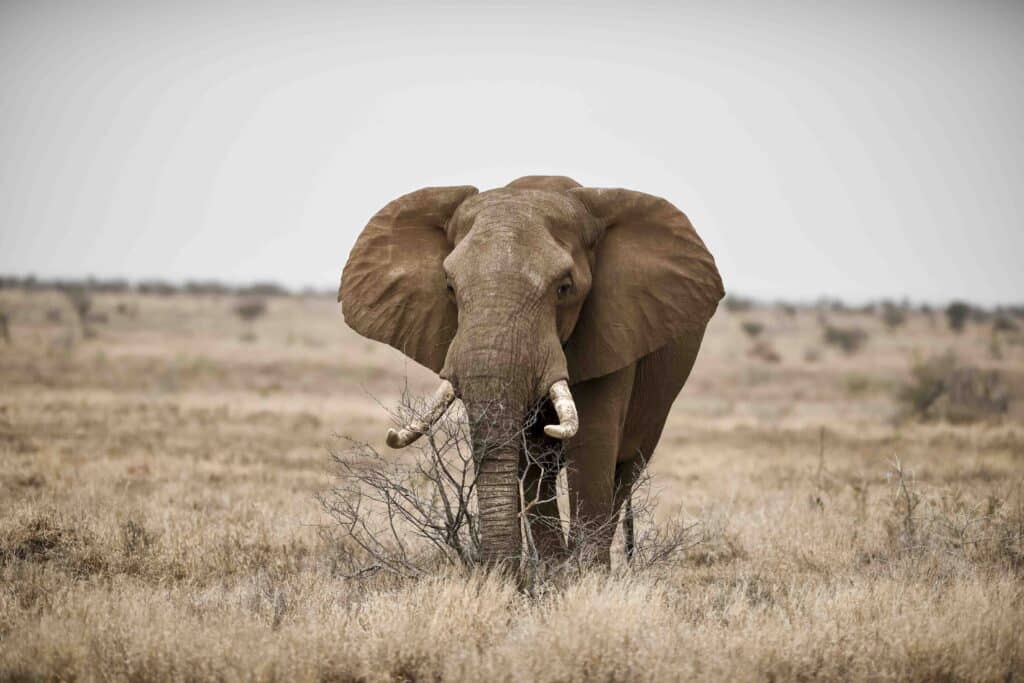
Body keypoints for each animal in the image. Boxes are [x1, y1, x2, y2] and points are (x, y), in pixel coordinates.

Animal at [339, 176, 724, 565]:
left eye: (565, 288)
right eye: (449, 287)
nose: (500, 571)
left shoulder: (612, 329)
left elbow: (593, 440)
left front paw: (583, 576)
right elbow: (531, 456)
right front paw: (551, 573)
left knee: (625, 469)